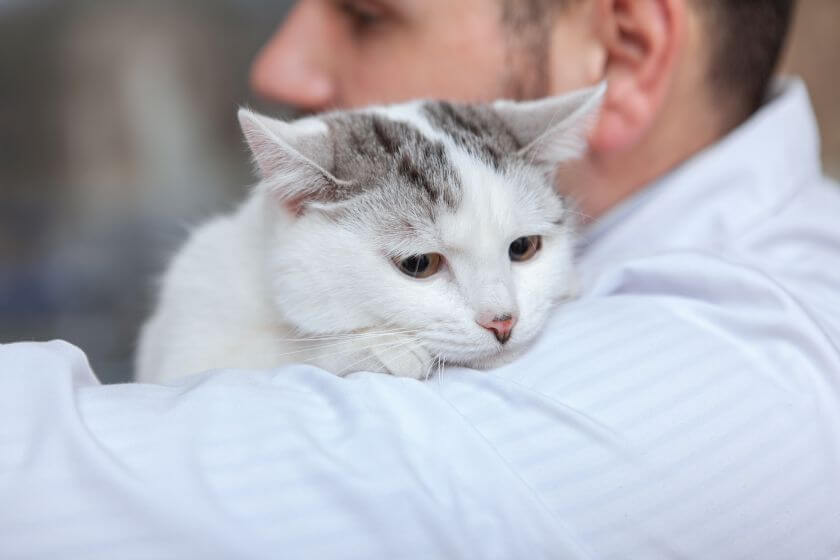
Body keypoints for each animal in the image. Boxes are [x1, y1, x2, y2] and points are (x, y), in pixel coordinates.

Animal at [135, 83, 600, 382]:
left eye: (523, 248)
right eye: (419, 264)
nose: (503, 322)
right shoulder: (186, 333)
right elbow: (272, 354)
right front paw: (376, 347)